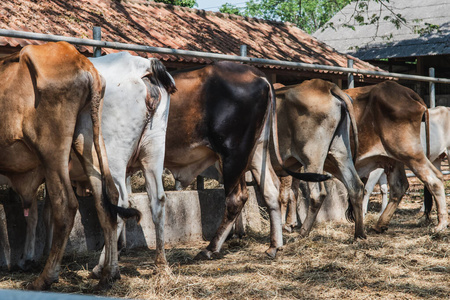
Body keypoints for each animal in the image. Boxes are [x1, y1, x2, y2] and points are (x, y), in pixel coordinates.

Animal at [0, 42, 136, 290]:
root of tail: (82, 63)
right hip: (89, 137)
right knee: (107, 199)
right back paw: (108, 274)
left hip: (52, 150)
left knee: (65, 204)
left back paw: (45, 278)